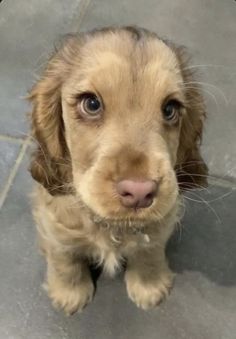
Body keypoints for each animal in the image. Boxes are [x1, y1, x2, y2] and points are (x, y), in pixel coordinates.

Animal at [28, 26, 207, 316]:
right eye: (91, 103)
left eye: (170, 109)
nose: (139, 192)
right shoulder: (54, 225)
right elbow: (64, 259)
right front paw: (69, 294)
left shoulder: (161, 223)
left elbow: (149, 251)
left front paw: (149, 286)